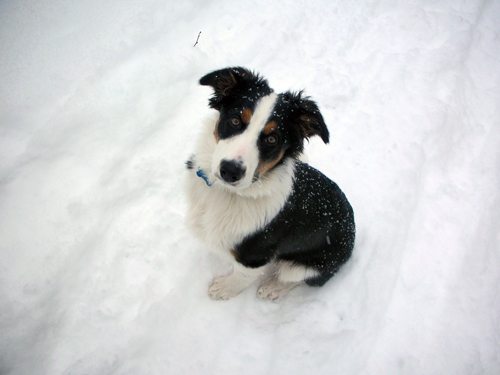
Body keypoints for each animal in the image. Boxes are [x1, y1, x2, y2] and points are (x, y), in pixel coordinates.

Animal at [185, 67, 356, 302]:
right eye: (235, 121)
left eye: (272, 139)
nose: (230, 171)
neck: (229, 194)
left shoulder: (255, 255)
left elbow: (241, 277)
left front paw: (223, 289)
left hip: (307, 265)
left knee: (300, 278)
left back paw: (273, 288)